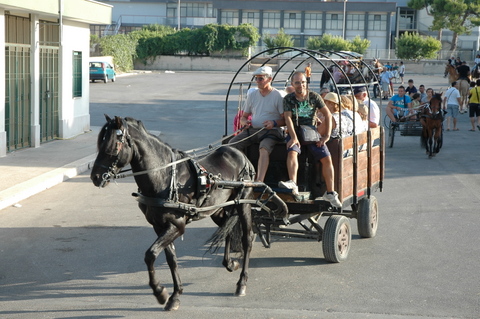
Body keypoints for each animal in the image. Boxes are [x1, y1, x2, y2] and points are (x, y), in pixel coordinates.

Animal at [89, 115, 284, 312]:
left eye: (113, 145)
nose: (95, 177)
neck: (164, 176)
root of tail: (239, 153)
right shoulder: (159, 226)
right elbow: (171, 259)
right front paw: (174, 295)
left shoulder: (177, 225)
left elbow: (150, 254)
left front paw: (160, 292)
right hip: (218, 209)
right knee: (227, 230)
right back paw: (230, 263)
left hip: (244, 203)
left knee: (247, 238)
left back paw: (241, 283)